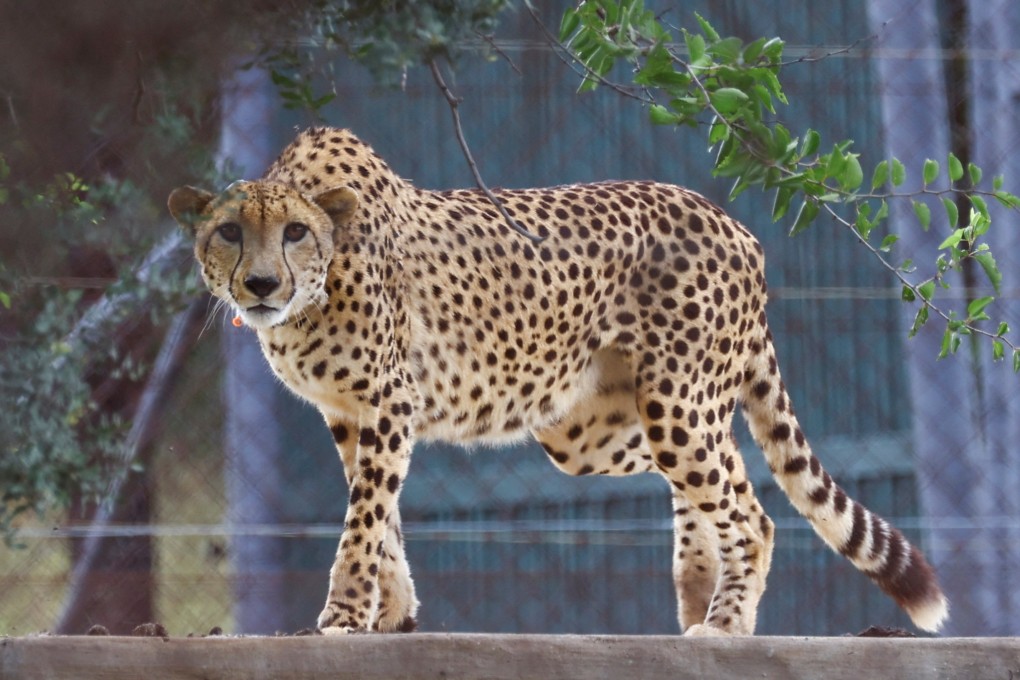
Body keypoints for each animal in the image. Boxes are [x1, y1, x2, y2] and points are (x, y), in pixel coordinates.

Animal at [169, 124, 946, 636]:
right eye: (228, 232)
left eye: (295, 232)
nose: (261, 284)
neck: (312, 292)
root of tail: (733, 223)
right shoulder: (349, 413)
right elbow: (379, 515)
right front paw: (393, 611)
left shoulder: (390, 399)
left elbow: (363, 517)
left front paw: (342, 614)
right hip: (601, 428)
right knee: (726, 467)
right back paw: (700, 593)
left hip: (671, 404)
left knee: (750, 510)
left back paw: (725, 623)